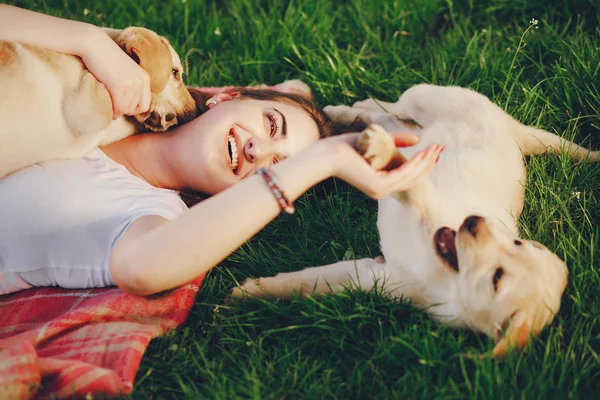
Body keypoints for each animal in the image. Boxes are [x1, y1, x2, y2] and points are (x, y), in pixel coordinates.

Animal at [232, 83, 596, 356]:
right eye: (517, 241)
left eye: (497, 278)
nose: (474, 221)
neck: (443, 276)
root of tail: (510, 129)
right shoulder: (423, 198)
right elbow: (406, 177)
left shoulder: (377, 277)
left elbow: (312, 282)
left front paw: (251, 292)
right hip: (426, 98)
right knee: (390, 108)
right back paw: (349, 113)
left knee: (396, 122)